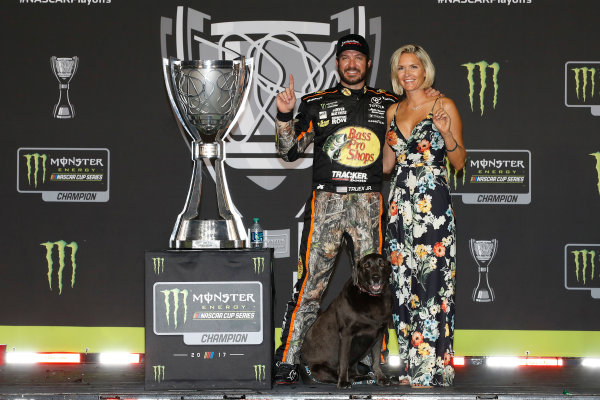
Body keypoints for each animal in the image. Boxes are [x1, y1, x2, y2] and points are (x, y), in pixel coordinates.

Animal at [300, 253, 394, 388]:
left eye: (382, 264)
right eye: (366, 266)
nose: (376, 278)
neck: (371, 297)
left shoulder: (379, 335)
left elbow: (376, 361)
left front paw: (381, 378)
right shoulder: (346, 335)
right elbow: (343, 361)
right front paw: (343, 382)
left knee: (354, 372)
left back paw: (363, 377)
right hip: (319, 368)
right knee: (336, 375)